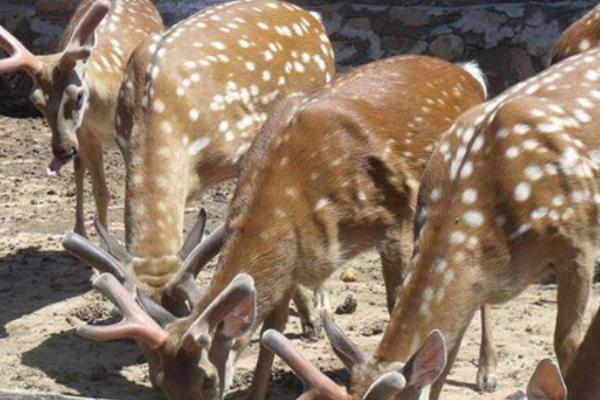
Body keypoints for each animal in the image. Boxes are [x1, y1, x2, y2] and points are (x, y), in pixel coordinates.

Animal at [0, 0, 164, 236]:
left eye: (78, 94)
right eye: (36, 101)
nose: (62, 150)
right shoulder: (86, 135)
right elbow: (100, 191)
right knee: (79, 169)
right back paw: (79, 230)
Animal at [72, 55, 488, 400]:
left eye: (207, 380)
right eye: (161, 383)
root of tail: (470, 73)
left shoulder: (394, 220)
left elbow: (395, 303)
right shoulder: (294, 262)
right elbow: (271, 331)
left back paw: (486, 373)